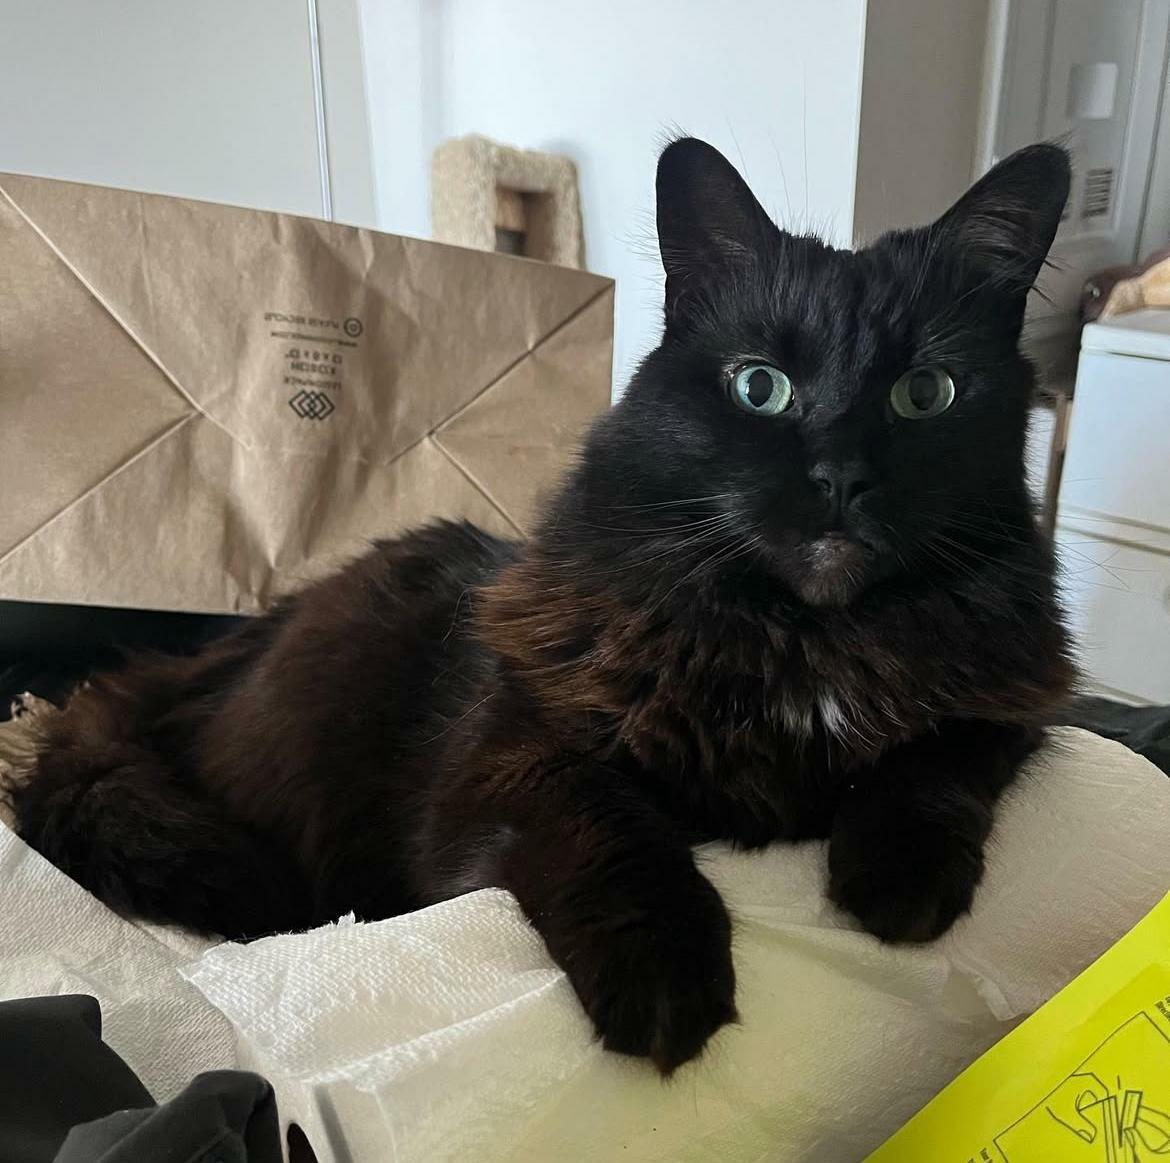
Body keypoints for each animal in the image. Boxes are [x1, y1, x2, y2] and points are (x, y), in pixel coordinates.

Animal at [11, 140, 1071, 1076]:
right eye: (759, 387)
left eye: (926, 393)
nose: (841, 476)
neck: (799, 640)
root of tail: (195, 661)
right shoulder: (514, 749)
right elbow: (609, 823)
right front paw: (664, 977)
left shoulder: (1013, 699)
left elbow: (937, 761)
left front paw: (898, 879)